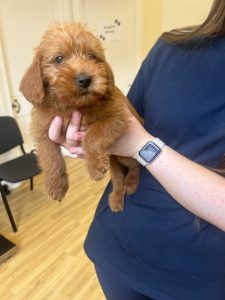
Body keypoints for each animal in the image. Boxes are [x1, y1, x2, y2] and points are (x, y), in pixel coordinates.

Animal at [20, 21, 142, 211]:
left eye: (92, 56)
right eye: (59, 59)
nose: (85, 79)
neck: (71, 105)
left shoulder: (117, 116)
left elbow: (92, 135)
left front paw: (94, 167)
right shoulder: (42, 130)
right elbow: (51, 158)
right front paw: (55, 185)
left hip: (123, 155)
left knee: (135, 165)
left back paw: (131, 183)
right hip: (113, 160)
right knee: (117, 177)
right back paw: (116, 196)